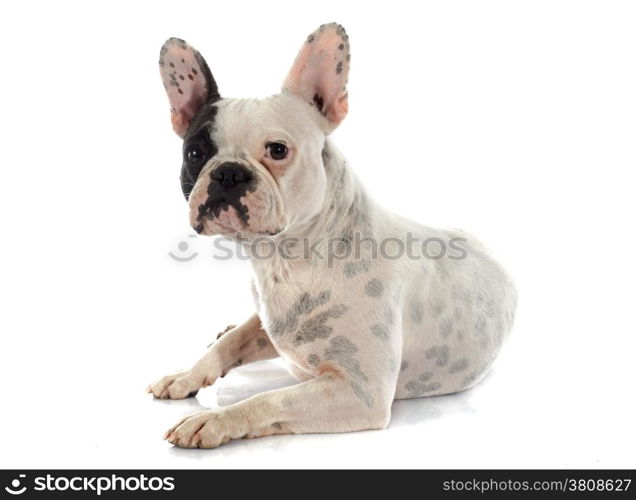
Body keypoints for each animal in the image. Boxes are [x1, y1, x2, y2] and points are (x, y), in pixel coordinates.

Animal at [149, 23, 516, 450]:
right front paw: (187, 375)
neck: (285, 259)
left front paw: (215, 418)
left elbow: (270, 400)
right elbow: (233, 341)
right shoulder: (272, 325)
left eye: (277, 150)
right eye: (195, 153)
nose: (227, 172)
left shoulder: (360, 393)